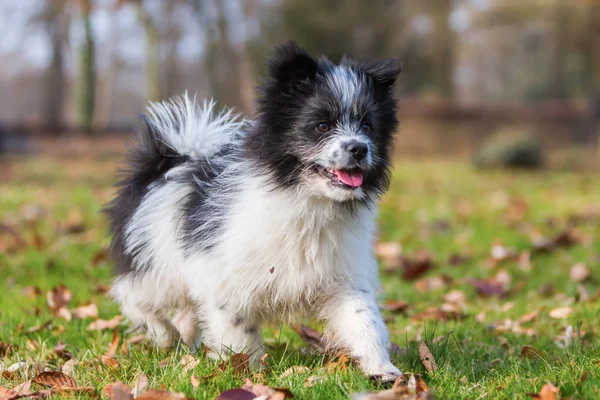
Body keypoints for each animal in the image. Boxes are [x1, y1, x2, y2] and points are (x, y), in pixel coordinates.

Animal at [106, 41, 404, 382]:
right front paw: (246, 374)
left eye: (367, 126)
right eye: (322, 125)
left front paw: (382, 369)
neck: (305, 199)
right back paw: (162, 333)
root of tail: (175, 159)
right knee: (133, 296)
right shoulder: (223, 277)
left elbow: (363, 319)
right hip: (153, 261)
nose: (359, 148)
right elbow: (237, 331)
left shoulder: (342, 277)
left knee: (185, 311)